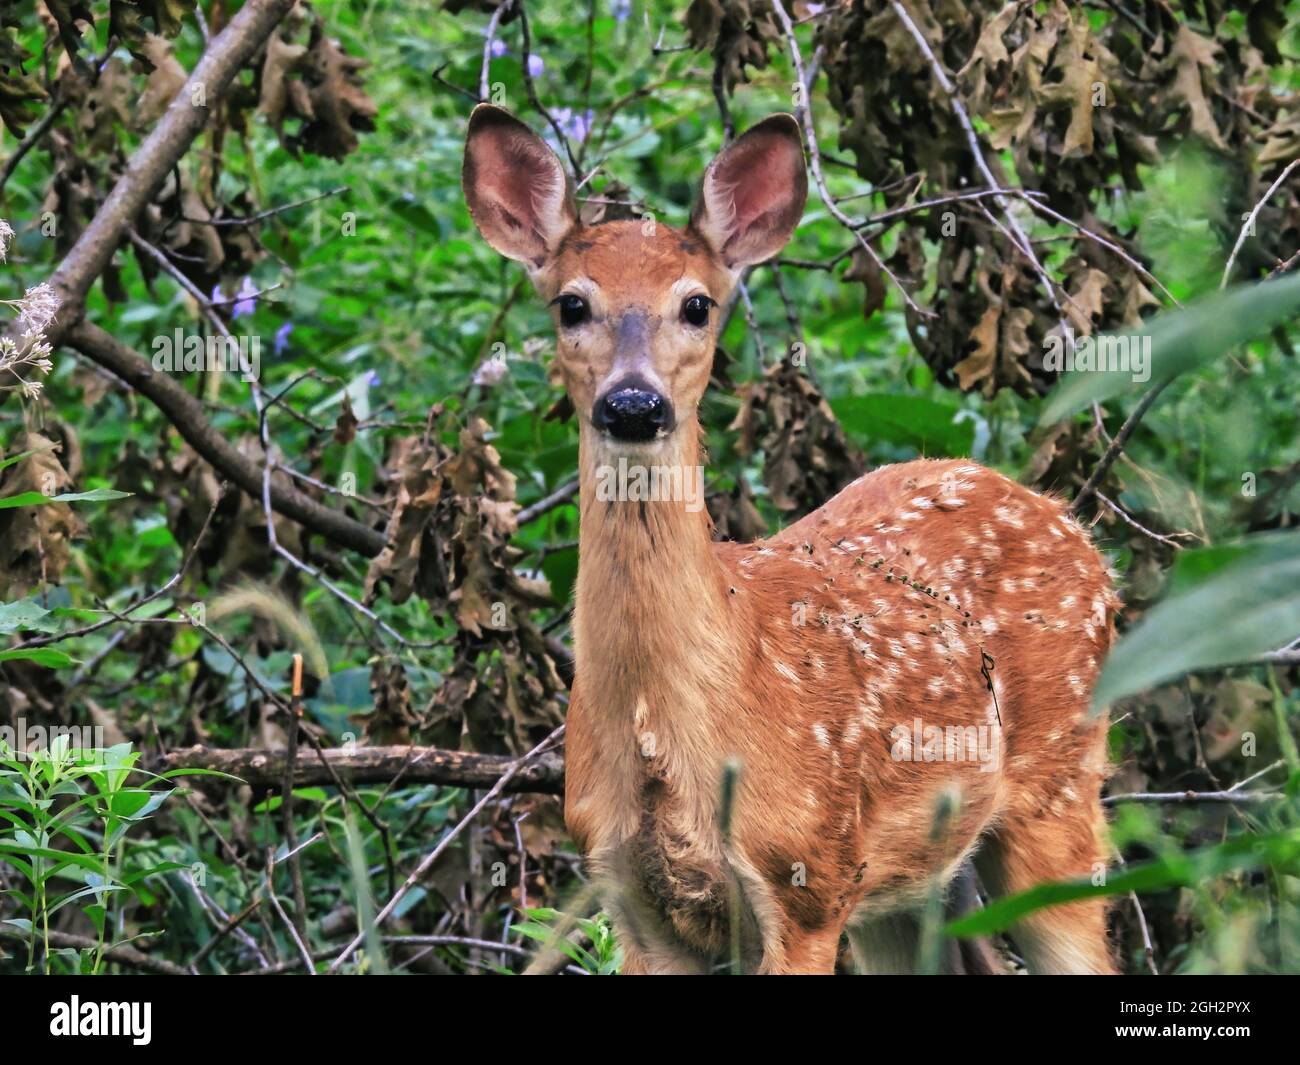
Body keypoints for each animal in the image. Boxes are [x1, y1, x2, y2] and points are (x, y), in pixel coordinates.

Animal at [462, 104, 1121, 975]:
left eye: (697, 305)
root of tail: (1073, 526)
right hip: (908, 889)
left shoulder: (807, 874)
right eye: (571, 305)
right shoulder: (631, 897)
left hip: (1058, 797)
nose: (633, 404)